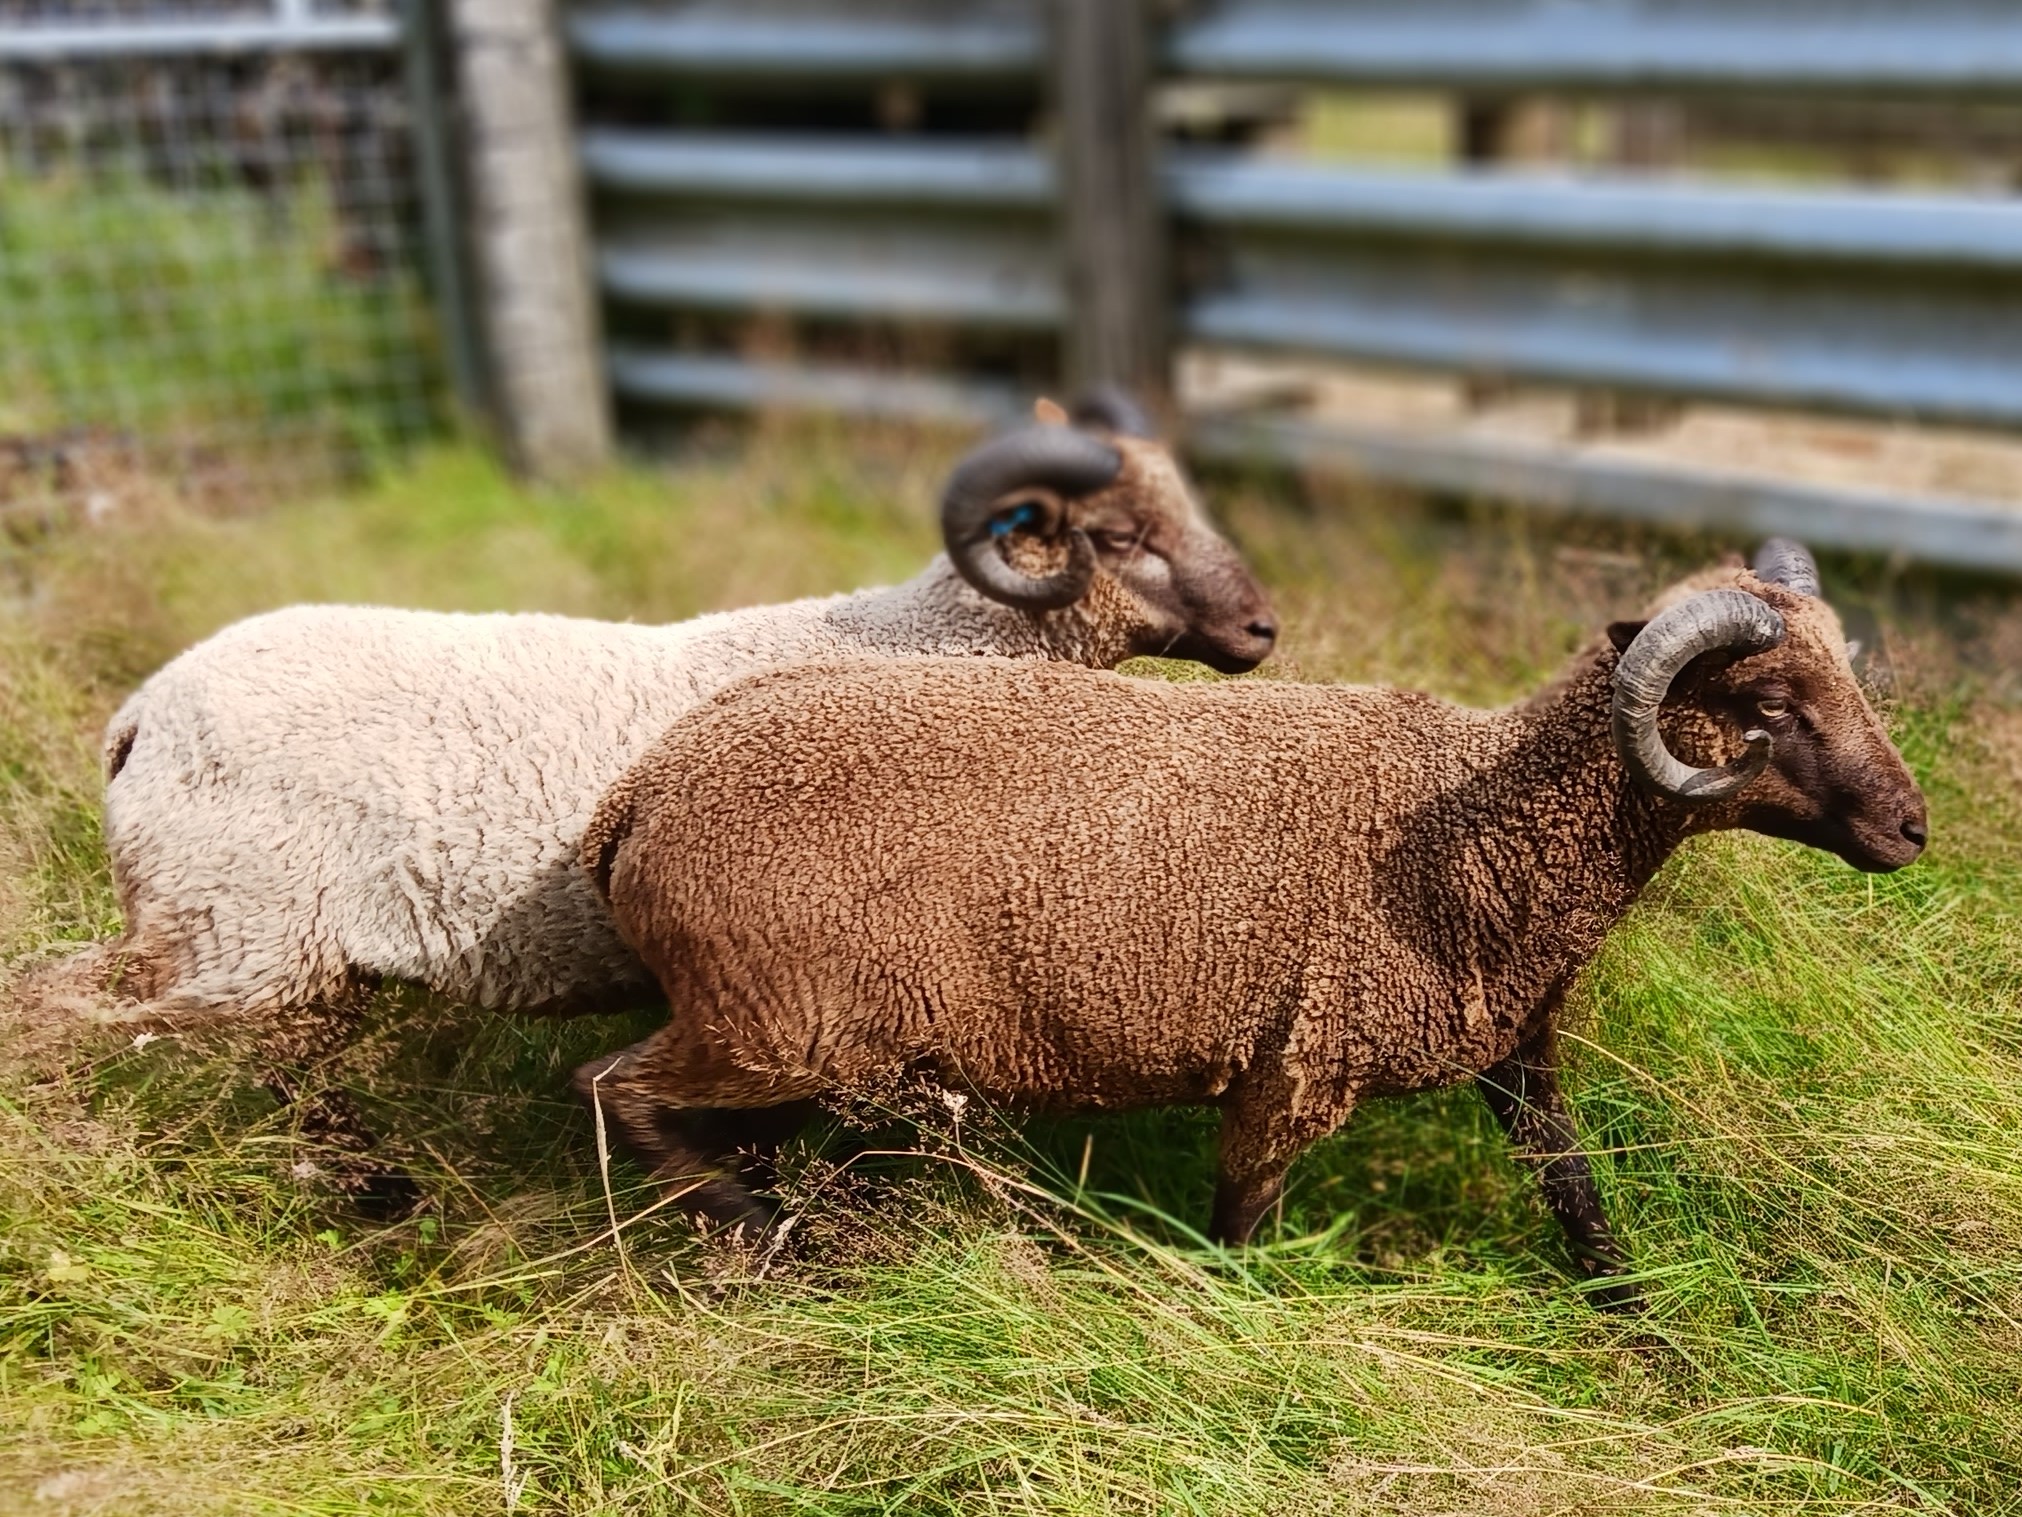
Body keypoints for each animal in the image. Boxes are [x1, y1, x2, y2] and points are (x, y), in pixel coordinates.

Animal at [47, 398, 1269, 1221]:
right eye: (1120, 536)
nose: (1263, 629)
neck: (933, 641)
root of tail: (140, 717)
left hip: (260, 952)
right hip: (234, 940)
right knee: (90, 1018)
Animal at [578, 542, 1916, 1310]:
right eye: (1766, 701)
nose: (1911, 827)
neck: (1479, 822)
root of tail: (636, 797)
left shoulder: (1514, 1048)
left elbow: (1576, 1196)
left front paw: (1641, 1327)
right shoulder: (1295, 1068)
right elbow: (1240, 1239)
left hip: (819, 1043)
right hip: (773, 1019)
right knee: (614, 1089)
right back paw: (771, 1241)